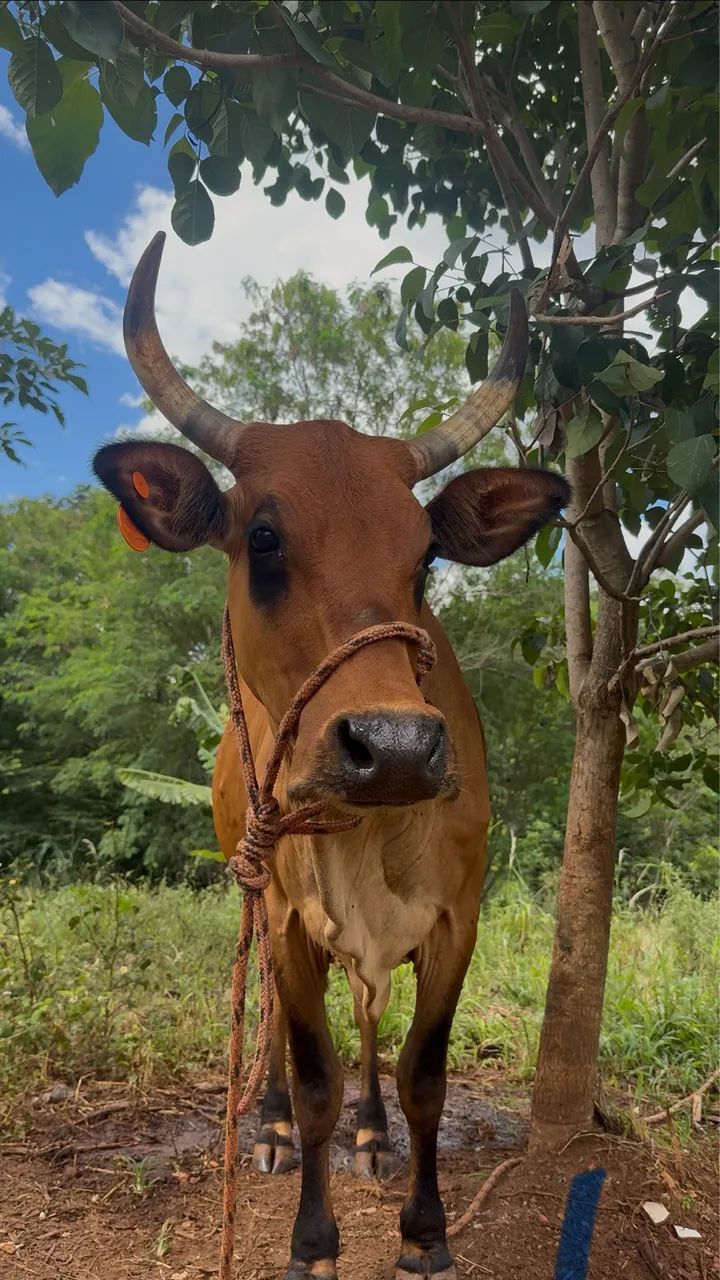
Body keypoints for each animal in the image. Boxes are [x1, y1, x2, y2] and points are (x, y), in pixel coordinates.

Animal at [94, 233, 568, 1280]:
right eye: (263, 537)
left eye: (426, 556)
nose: (393, 747)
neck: (366, 829)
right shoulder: (286, 914)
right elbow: (311, 1072)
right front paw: (313, 1237)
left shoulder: (455, 917)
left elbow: (422, 1070)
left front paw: (423, 1224)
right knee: (278, 1029)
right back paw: (269, 1128)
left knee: (367, 1019)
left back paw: (373, 1132)